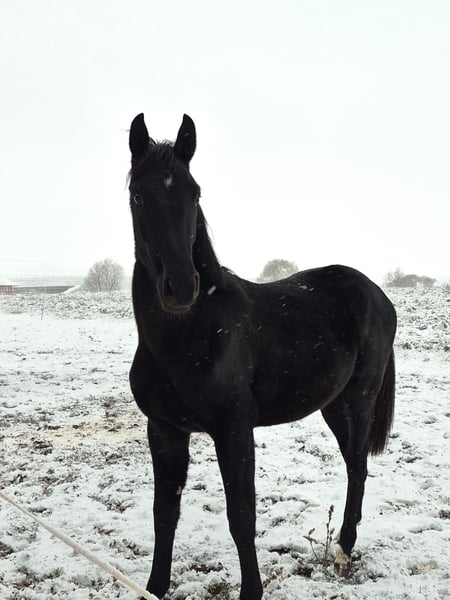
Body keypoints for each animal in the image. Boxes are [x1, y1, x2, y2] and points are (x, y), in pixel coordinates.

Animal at [127, 113, 397, 600]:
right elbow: (164, 515)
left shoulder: (234, 432)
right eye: (138, 194)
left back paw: (344, 550)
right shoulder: (164, 431)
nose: (181, 286)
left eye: (194, 193)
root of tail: (377, 294)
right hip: (332, 405)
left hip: (359, 401)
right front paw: (155, 587)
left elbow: (241, 517)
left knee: (358, 467)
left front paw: (251, 591)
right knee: (355, 466)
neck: (189, 335)